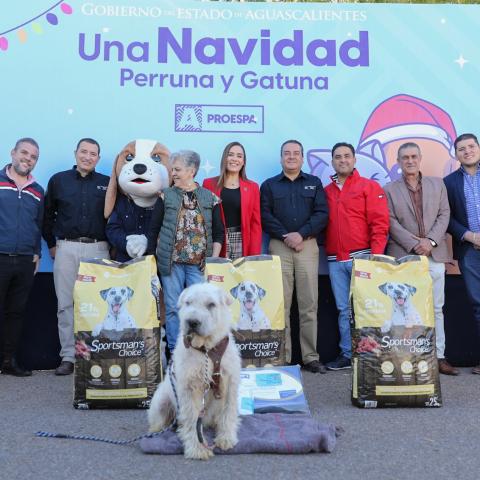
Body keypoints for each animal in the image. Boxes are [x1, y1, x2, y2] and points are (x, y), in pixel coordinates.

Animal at [148, 284, 242, 460]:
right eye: (188, 302)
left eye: (211, 304)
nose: (192, 322)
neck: (207, 349)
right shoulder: (190, 387)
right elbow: (192, 420)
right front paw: (198, 449)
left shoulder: (229, 383)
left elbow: (228, 412)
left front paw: (226, 438)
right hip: (161, 401)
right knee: (162, 420)